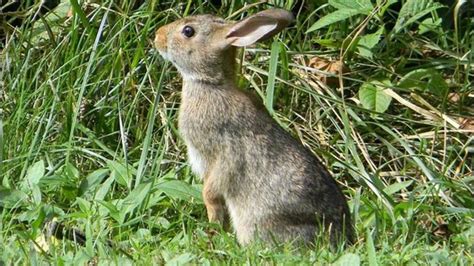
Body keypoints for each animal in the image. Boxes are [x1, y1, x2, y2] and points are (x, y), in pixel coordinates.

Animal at [154, 7, 354, 245]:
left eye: (188, 31)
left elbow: (212, 192)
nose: (157, 36)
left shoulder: (224, 152)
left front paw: (213, 228)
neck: (211, 84)